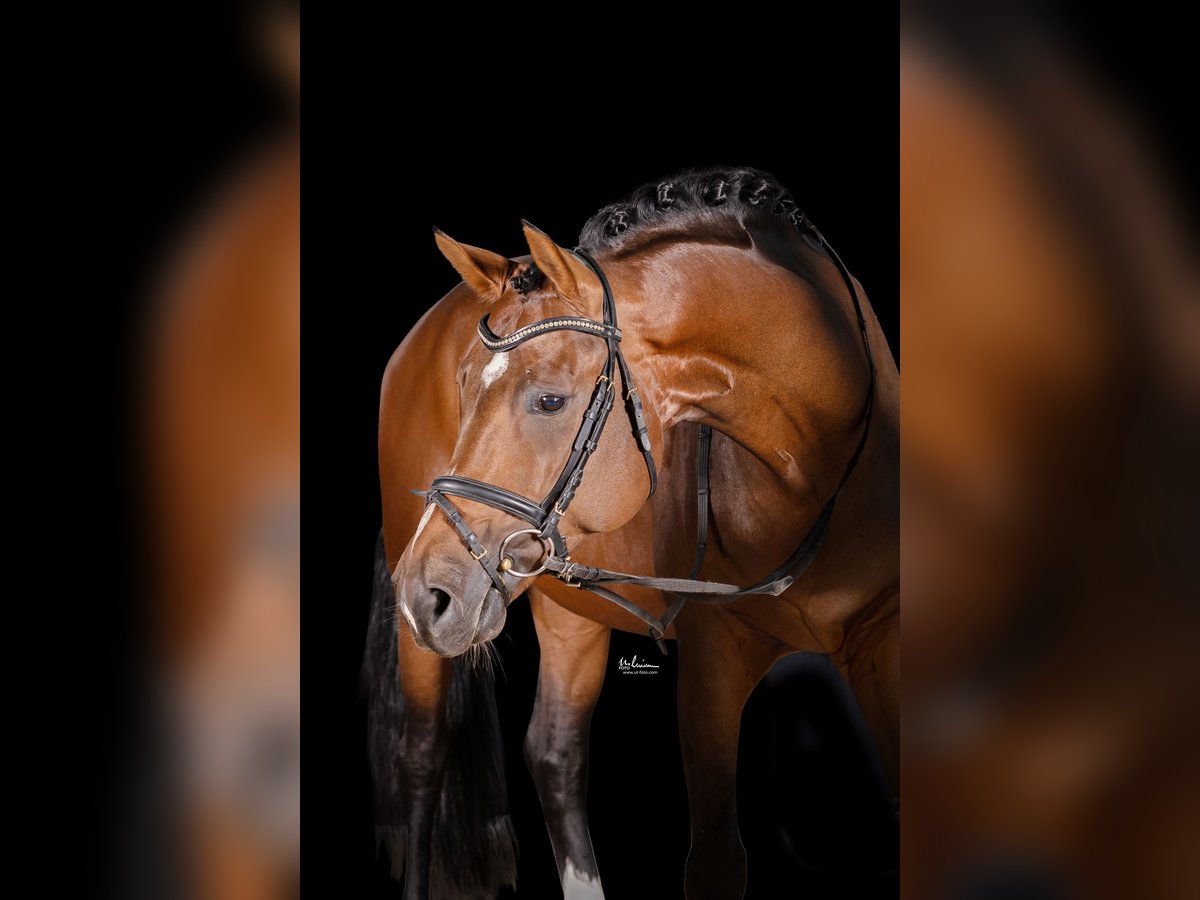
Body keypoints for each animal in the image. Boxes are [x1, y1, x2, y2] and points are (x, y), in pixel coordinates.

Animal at [367, 167, 899, 899]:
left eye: (551, 400)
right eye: (463, 385)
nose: (426, 594)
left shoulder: (882, 642)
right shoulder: (711, 656)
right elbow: (716, 858)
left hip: (567, 607)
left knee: (554, 753)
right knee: (421, 757)